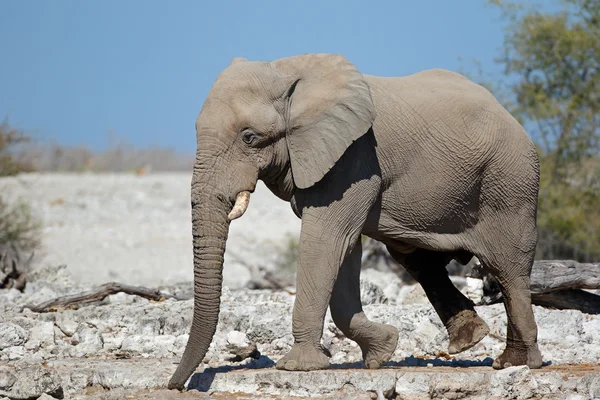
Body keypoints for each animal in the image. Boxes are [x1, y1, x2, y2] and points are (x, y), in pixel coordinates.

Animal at [168, 53, 544, 390]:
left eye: (249, 137)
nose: (176, 386)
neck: (286, 72)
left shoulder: (353, 157)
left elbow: (326, 238)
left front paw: (296, 367)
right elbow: (344, 248)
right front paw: (382, 351)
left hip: (509, 182)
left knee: (508, 270)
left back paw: (520, 363)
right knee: (417, 259)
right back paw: (475, 342)